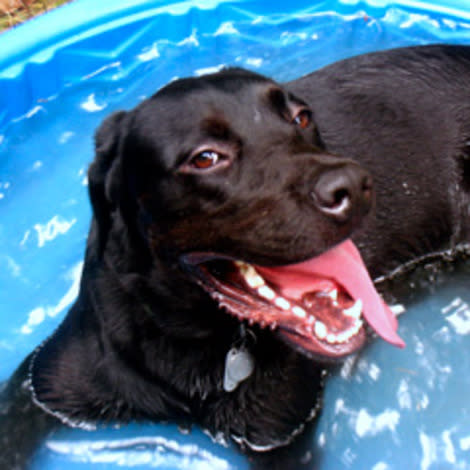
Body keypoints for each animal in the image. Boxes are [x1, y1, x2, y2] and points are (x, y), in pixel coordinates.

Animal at [2, 43, 470, 466]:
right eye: (205, 158)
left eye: (302, 117)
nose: (353, 186)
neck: (185, 337)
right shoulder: (39, 386)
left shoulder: (277, 433)